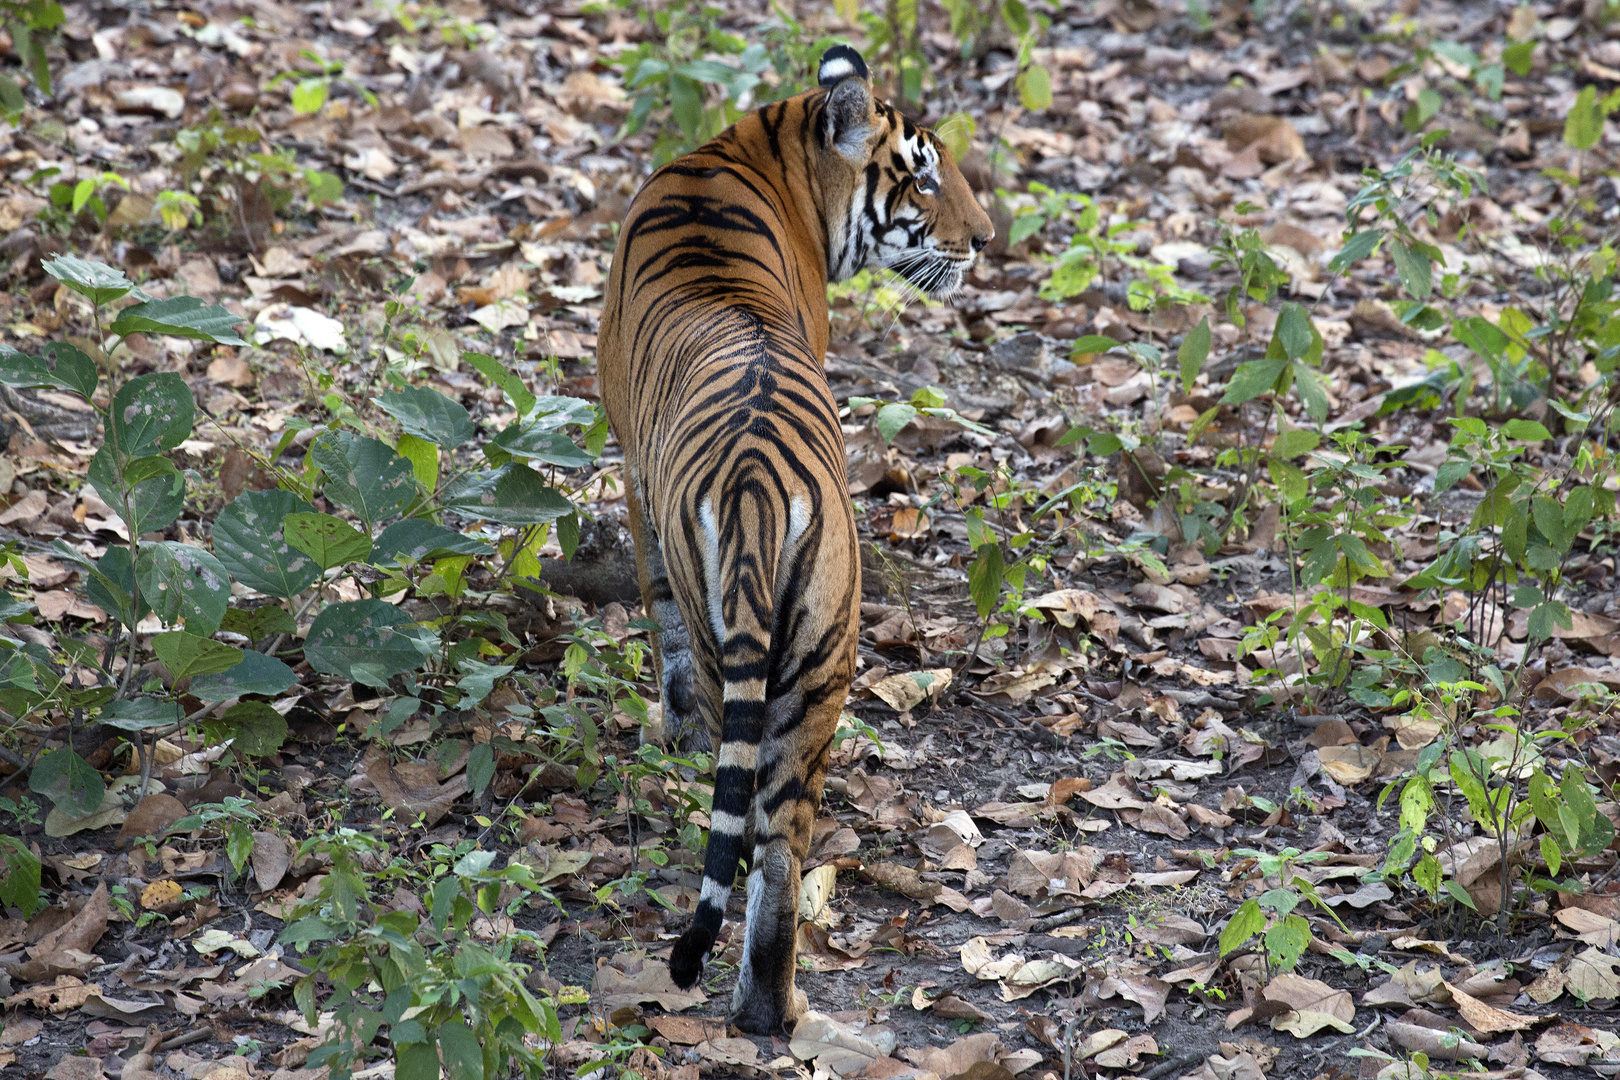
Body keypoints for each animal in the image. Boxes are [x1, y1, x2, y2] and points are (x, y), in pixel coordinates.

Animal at [599, 46, 984, 1036]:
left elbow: (657, 619)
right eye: (924, 175)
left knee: (752, 819)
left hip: (744, 629)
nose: (984, 238)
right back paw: (770, 1006)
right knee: (780, 843)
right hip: (824, 648)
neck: (758, 145)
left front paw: (672, 735)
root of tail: (760, 486)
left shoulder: (633, 474)